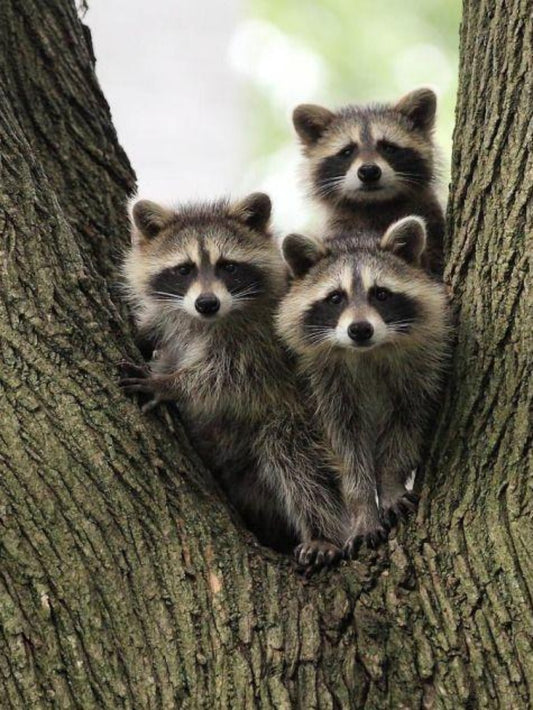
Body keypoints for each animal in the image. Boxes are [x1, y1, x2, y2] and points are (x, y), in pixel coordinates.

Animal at [119, 193, 350, 568]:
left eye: (228, 266)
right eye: (184, 270)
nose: (207, 303)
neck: (206, 322)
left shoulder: (266, 340)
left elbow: (230, 379)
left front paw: (172, 383)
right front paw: (145, 337)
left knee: (297, 458)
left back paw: (323, 532)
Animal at [277, 216, 449, 557]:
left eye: (380, 294)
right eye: (335, 298)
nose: (359, 329)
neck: (367, 353)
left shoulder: (420, 372)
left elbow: (405, 428)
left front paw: (391, 483)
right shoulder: (322, 388)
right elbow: (344, 449)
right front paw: (363, 509)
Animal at [293, 88, 445, 276]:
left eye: (388, 147)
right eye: (347, 151)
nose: (369, 172)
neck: (373, 204)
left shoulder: (431, 220)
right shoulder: (340, 227)